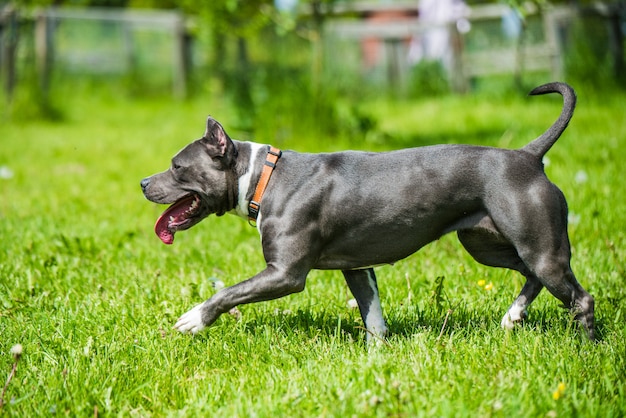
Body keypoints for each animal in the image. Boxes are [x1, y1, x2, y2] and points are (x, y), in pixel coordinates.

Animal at [141, 82, 596, 342]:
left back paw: (587, 347)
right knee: (531, 275)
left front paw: (193, 319)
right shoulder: (357, 268)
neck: (262, 177)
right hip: (486, 243)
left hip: (539, 245)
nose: (144, 183)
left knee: (579, 297)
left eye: (177, 167)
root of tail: (528, 155)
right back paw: (513, 317)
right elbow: (373, 315)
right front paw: (378, 352)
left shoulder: (285, 274)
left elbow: (227, 291)